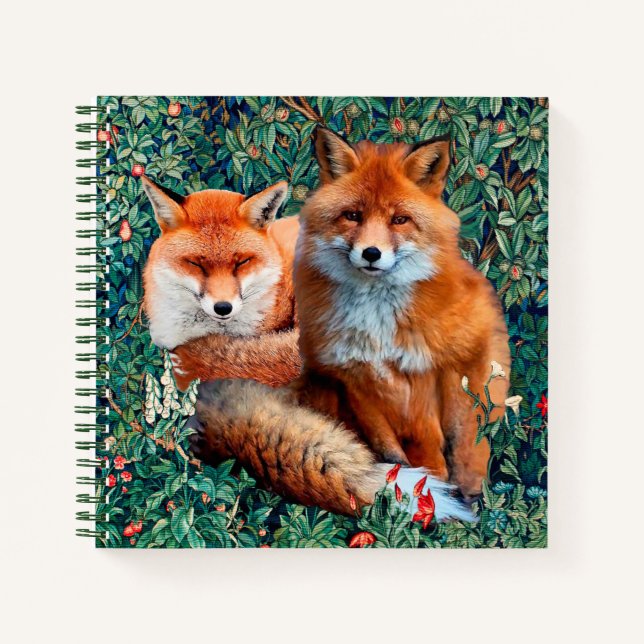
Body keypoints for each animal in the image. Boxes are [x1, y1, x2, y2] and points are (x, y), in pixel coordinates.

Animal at [191, 128, 511, 521]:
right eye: (353, 216)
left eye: (399, 220)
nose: (371, 253)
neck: (378, 325)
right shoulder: (351, 378)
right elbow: (391, 452)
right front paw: (406, 491)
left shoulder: (430, 374)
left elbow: (436, 448)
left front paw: (439, 494)